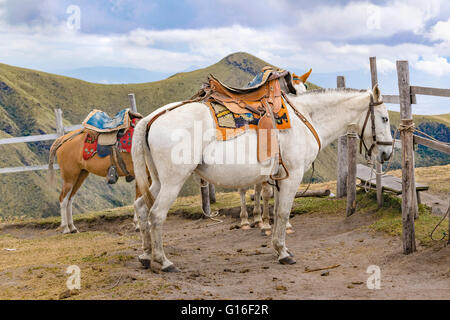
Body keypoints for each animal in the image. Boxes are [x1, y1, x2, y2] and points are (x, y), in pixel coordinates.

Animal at [132, 84, 392, 272]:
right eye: (385, 118)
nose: (387, 153)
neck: (306, 118)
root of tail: (151, 118)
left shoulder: (278, 178)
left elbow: (276, 210)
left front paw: (277, 247)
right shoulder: (292, 176)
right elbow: (283, 212)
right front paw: (284, 253)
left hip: (158, 181)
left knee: (141, 208)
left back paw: (145, 255)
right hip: (173, 181)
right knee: (156, 214)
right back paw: (164, 261)